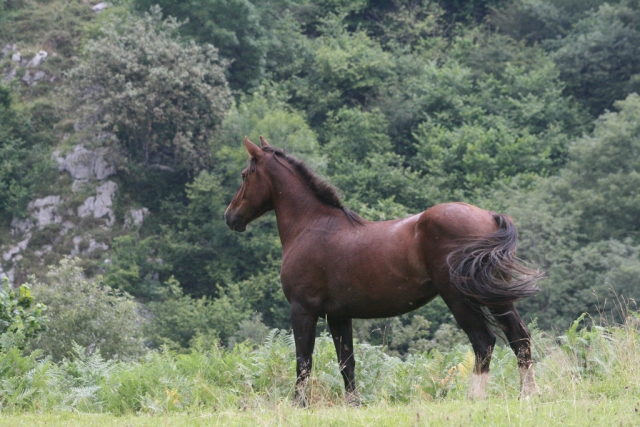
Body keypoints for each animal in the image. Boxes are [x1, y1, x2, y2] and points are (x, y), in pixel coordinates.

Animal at [225, 136, 543, 406]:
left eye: (244, 175)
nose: (230, 217)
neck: (312, 225)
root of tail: (490, 217)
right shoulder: (338, 315)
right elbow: (347, 362)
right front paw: (353, 404)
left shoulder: (303, 309)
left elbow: (304, 360)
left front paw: (298, 405)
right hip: (496, 298)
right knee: (519, 337)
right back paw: (527, 396)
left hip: (460, 299)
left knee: (484, 342)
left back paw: (475, 397)